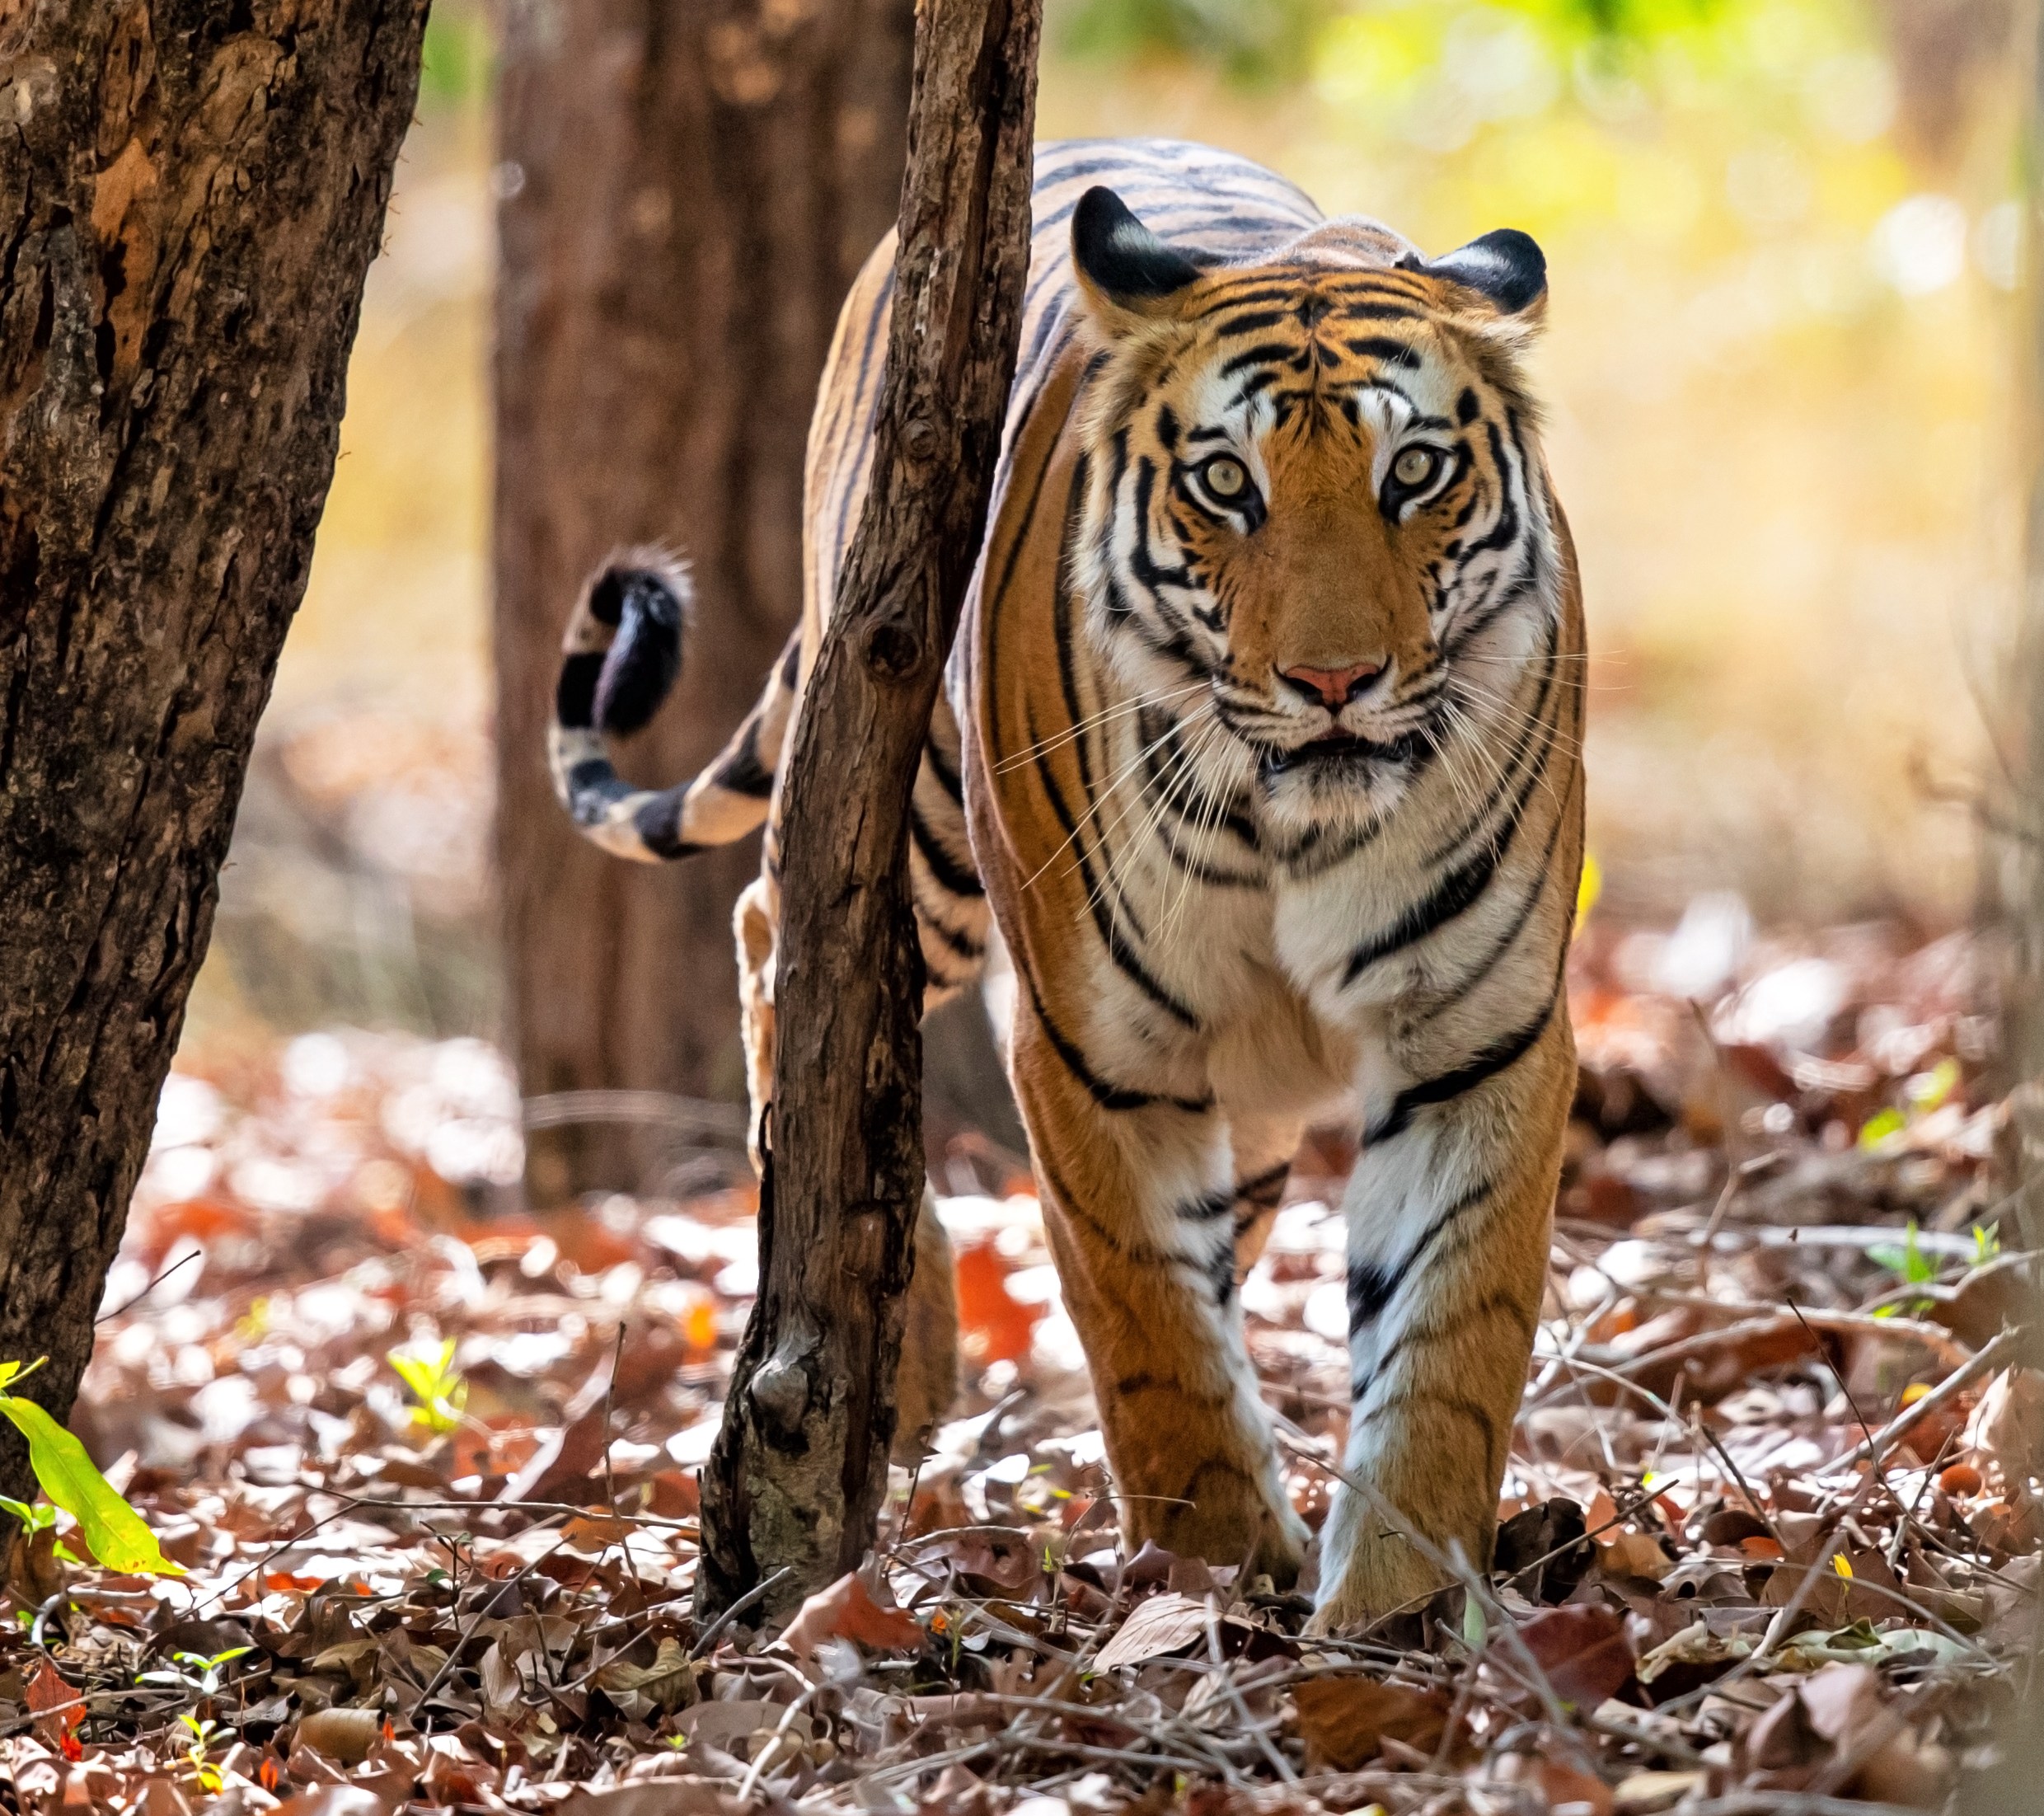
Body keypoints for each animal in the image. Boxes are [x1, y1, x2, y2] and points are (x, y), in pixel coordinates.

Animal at [551, 134, 1586, 1627]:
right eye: (1226, 485)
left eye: (1417, 471)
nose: (1334, 682)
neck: (1295, 831)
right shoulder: (1098, 1048)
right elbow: (1148, 1325)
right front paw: (1218, 1570)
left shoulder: (1476, 1036)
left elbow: (1450, 1337)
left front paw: (1397, 1606)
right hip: (909, 812)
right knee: (775, 940)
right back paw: (905, 1351)